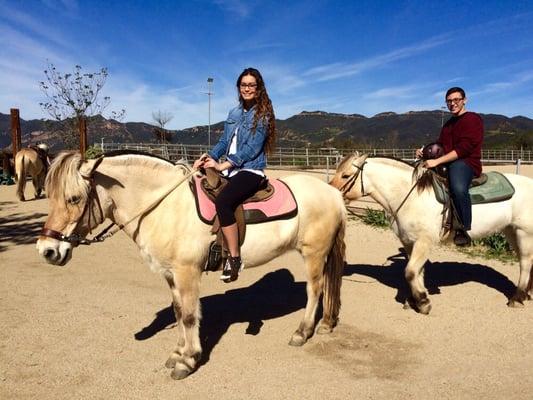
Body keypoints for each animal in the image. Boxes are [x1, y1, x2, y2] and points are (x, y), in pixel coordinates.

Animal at [36, 152, 344, 380]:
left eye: (74, 198)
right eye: (51, 197)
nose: (47, 250)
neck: (166, 206)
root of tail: (332, 192)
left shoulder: (187, 273)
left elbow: (188, 315)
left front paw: (188, 360)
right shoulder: (171, 274)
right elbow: (177, 310)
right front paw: (177, 353)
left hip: (314, 253)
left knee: (315, 290)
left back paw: (302, 333)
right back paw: (325, 324)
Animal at [330, 155, 528, 314]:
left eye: (346, 175)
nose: (330, 193)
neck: (411, 197)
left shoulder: (424, 241)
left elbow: (410, 271)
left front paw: (423, 302)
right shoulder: (409, 242)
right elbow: (417, 271)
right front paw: (414, 300)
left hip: (524, 232)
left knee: (525, 262)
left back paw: (518, 298)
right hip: (510, 230)